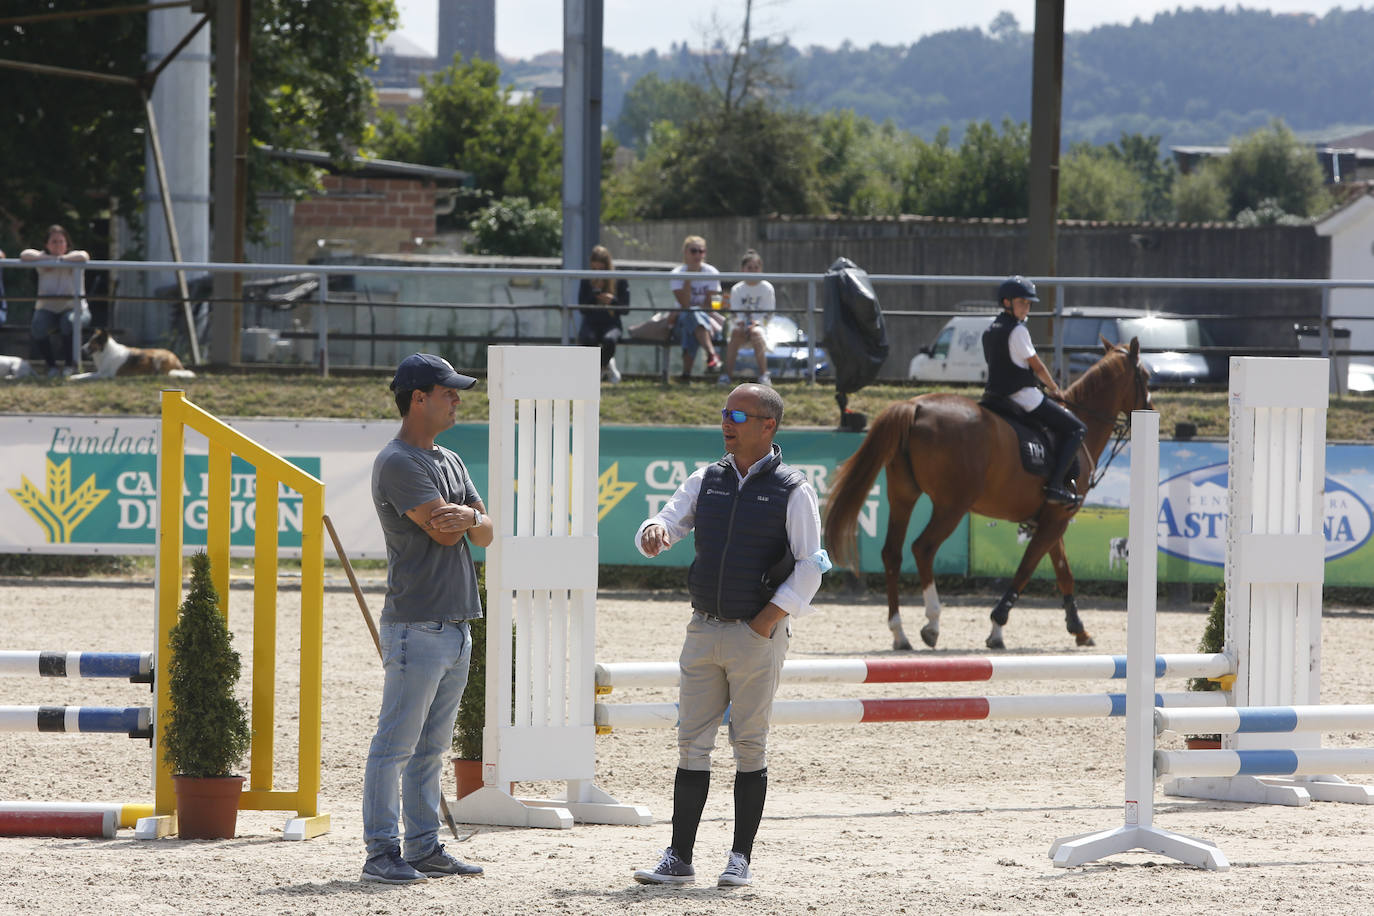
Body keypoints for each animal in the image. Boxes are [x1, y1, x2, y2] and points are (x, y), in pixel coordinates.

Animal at [824, 336, 1148, 650]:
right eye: (1144, 376)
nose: (1149, 410)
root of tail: (916, 407)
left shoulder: (1052, 520)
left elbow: (1063, 572)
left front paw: (1079, 629)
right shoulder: (1056, 520)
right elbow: (1026, 569)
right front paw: (997, 627)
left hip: (903, 496)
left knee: (892, 553)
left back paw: (899, 633)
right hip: (951, 506)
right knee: (923, 548)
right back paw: (932, 623)